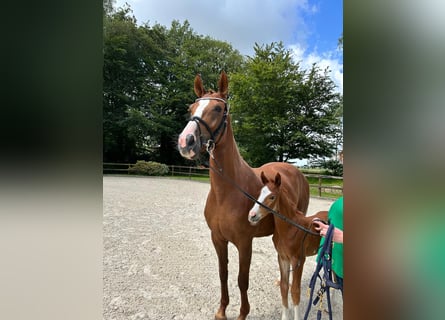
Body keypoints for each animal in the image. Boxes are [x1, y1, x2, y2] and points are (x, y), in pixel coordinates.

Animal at [177, 72, 308, 320]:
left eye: (218, 109)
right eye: (191, 108)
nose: (186, 141)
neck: (226, 193)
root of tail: (296, 171)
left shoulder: (244, 242)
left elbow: (242, 279)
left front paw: (242, 313)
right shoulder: (218, 239)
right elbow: (223, 274)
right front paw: (222, 310)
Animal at [248, 171, 328, 320]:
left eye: (272, 197)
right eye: (259, 193)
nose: (252, 215)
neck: (290, 229)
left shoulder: (298, 260)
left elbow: (295, 291)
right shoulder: (282, 258)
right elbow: (284, 287)